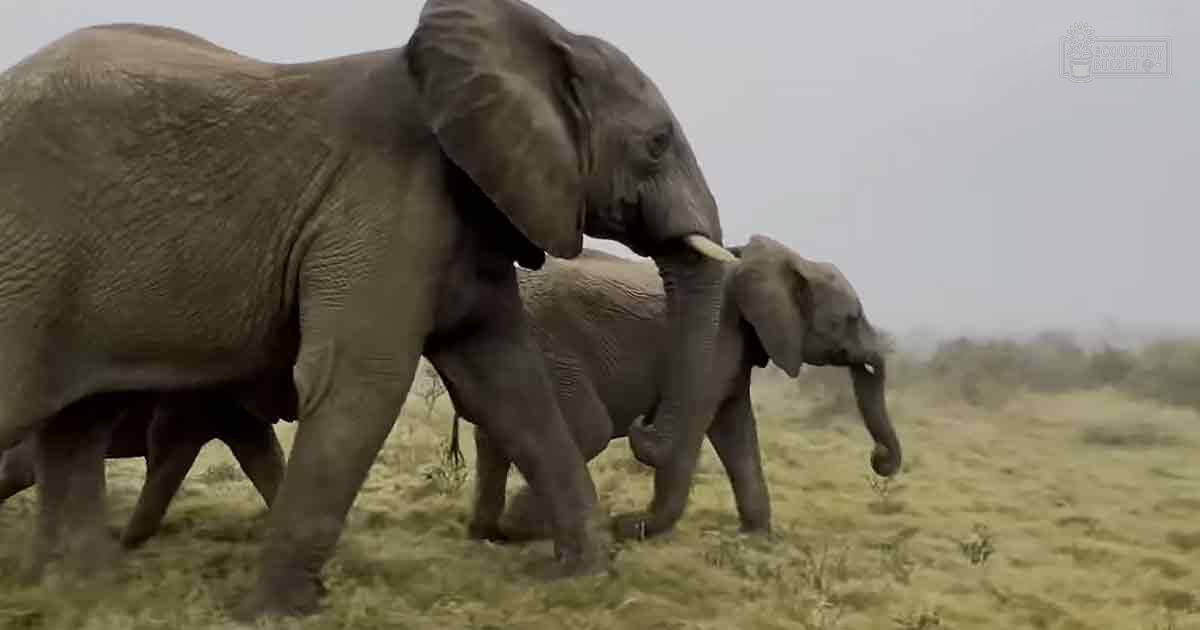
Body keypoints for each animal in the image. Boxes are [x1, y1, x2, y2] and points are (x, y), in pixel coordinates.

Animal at [448, 235, 901, 541]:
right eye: (851, 318)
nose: (878, 458)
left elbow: (736, 429)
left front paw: (755, 538)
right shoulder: (716, 340)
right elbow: (698, 427)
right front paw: (631, 528)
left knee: (497, 436)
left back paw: (492, 531)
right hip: (544, 344)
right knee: (584, 429)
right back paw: (529, 529)